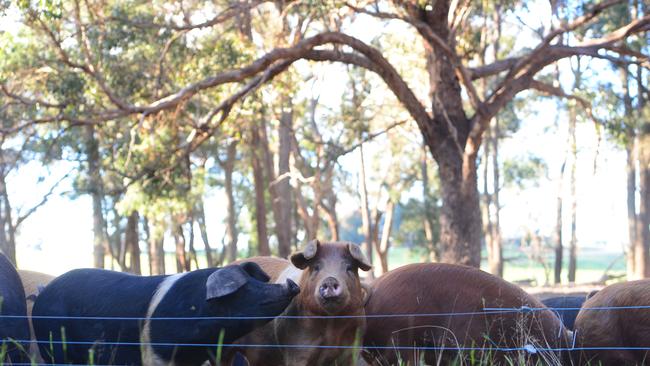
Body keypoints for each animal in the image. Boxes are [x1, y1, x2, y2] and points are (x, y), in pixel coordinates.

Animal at [32, 262, 298, 364]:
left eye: (257, 280)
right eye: (247, 287)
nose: (291, 284)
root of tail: (42, 294)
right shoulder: (157, 353)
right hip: (51, 343)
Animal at [234, 240, 372, 366]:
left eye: (349, 268)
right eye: (316, 267)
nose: (330, 279)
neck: (331, 326)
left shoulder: (352, 348)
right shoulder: (296, 349)